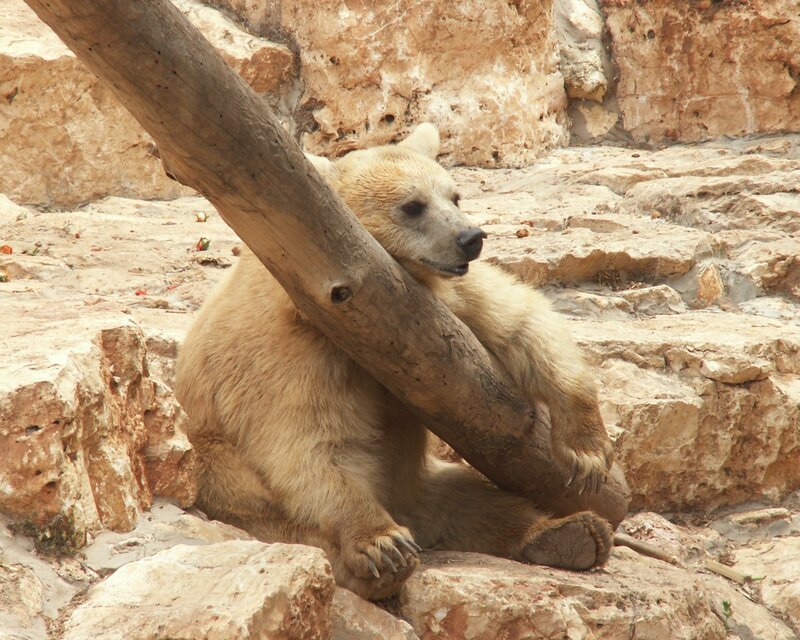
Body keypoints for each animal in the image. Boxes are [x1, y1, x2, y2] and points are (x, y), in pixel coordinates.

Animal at [174, 124, 615, 600]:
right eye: (412, 206)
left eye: (454, 195)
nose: (470, 238)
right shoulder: (293, 354)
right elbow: (309, 443)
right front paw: (382, 543)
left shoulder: (443, 297)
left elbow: (522, 324)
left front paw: (587, 453)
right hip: (224, 477)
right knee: (292, 525)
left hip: (417, 484)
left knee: (469, 498)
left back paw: (572, 533)